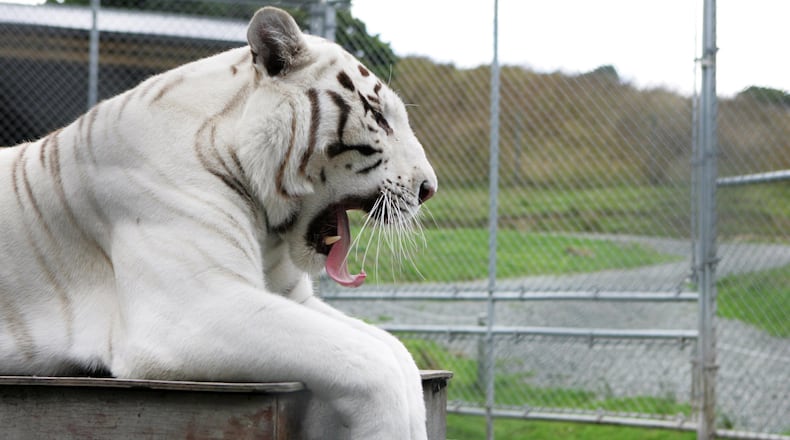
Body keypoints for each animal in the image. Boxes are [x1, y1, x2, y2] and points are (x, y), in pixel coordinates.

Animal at [0, 7, 437, 440]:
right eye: (378, 116)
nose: (428, 189)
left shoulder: (293, 299)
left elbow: (394, 351)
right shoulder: (194, 306)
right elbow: (372, 362)